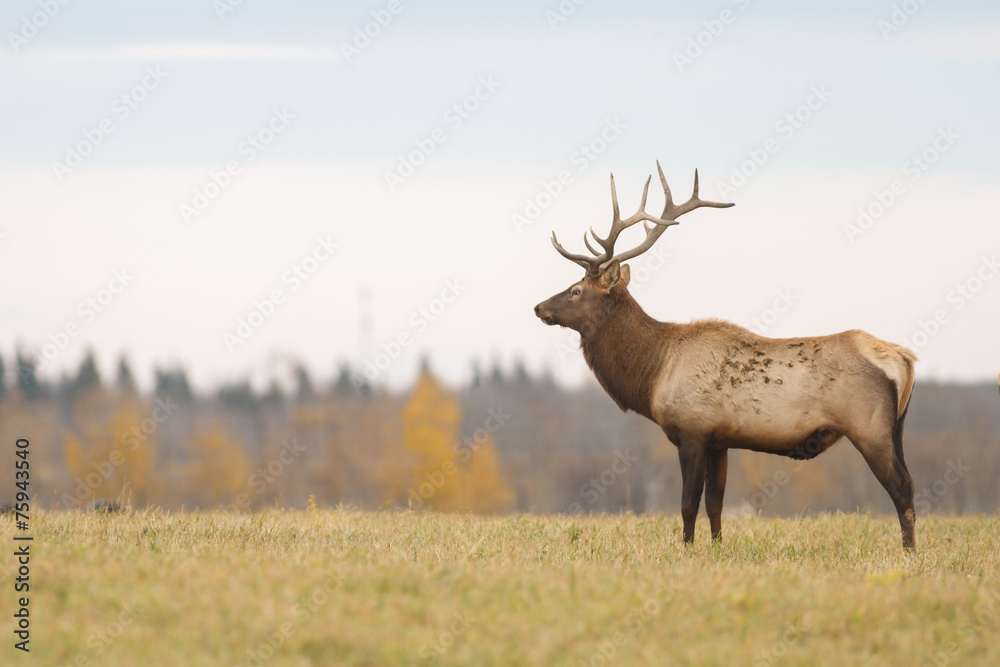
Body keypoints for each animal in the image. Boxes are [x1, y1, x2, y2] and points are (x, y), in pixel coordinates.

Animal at [534, 162, 918, 549]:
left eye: (576, 290)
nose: (538, 307)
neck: (654, 373)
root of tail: (905, 358)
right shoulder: (720, 441)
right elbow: (715, 504)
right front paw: (717, 549)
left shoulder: (692, 430)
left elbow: (689, 504)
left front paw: (687, 550)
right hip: (896, 428)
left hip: (868, 427)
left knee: (902, 486)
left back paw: (908, 552)